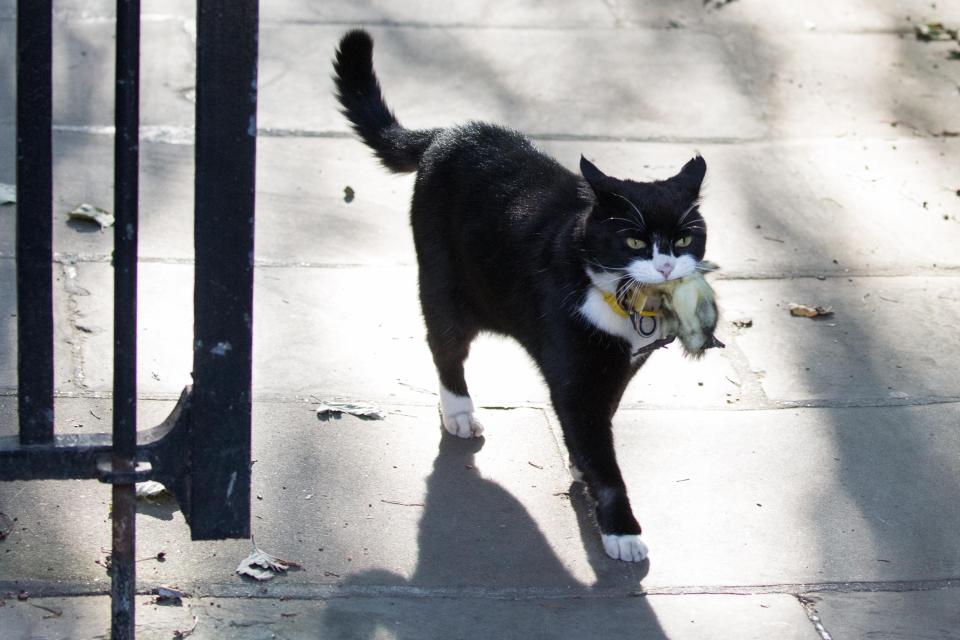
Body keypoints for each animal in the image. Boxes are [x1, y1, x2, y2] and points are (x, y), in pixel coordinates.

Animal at [334, 30, 708, 560]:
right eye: (634, 242)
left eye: (684, 239)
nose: (666, 264)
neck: (618, 300)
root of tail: (449, 133)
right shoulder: (576, 375)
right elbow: (597, 445)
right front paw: (621, 528)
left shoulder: (624, 366)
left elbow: (602, 418)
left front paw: (581, 466)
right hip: (443, 284)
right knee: (445, 346)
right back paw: (459, 411)